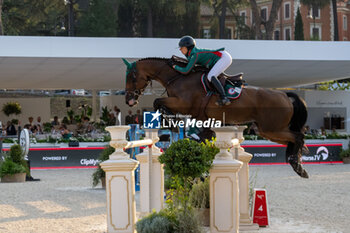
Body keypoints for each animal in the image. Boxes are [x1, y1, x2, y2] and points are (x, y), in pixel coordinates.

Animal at [123, 57, 308, 177]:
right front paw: (180, 128)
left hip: (272, 129)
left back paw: (297, 166)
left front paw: (172, 122)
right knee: (294, 139)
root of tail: (284, 94)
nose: (129, 99)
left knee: (298, 136)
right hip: (267, 131)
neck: (178, 77)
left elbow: (157, 102)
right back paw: (297, 162)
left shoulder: (183, 103)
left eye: (132, 77)